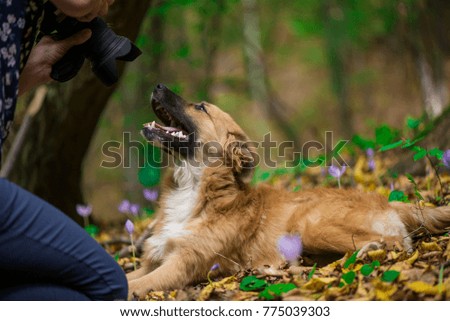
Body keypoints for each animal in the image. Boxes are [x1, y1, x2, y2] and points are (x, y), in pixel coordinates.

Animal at [126, 84, 450, 298]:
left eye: (201, 107)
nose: (157, 85)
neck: (195, 190)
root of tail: (388, 202)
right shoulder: (154, 259)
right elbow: (128, 277)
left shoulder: (183, 264)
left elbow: (134, 286)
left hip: (309, 225)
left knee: (397, 243)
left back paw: (368, 250)